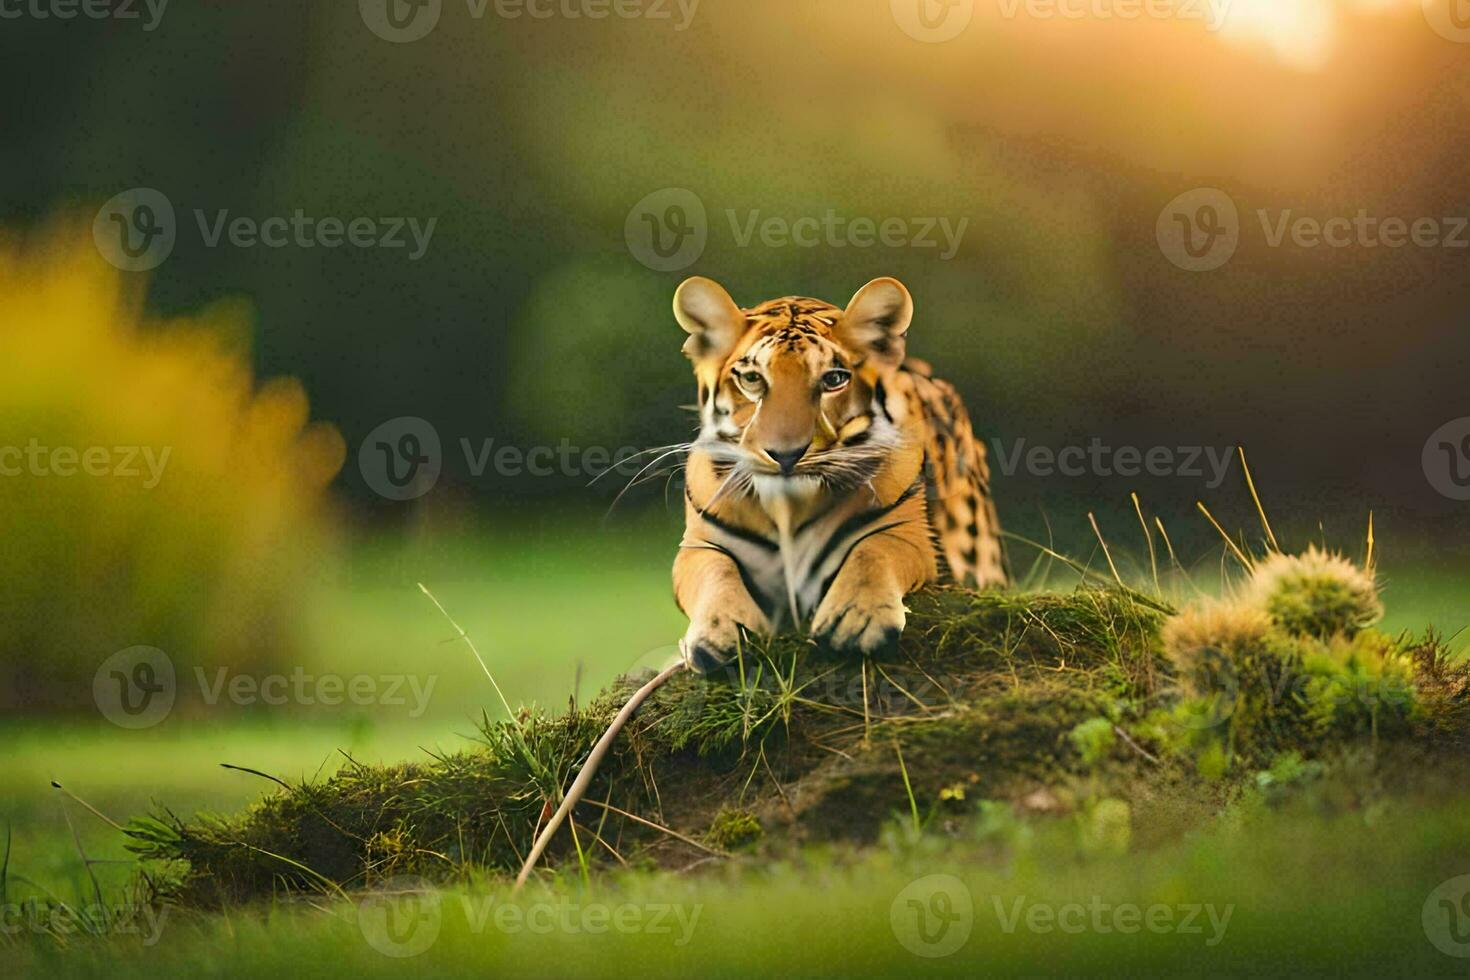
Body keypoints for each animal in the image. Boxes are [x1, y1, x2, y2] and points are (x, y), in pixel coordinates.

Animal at [673, 276, 1005, 675]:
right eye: (752, 379)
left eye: (833, 379)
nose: (786, 454)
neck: (787, 509)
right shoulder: (700, 544)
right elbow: (715, 573)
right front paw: (719, 632)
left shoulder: (906, 531)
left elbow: (872, 551)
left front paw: (857, 619)